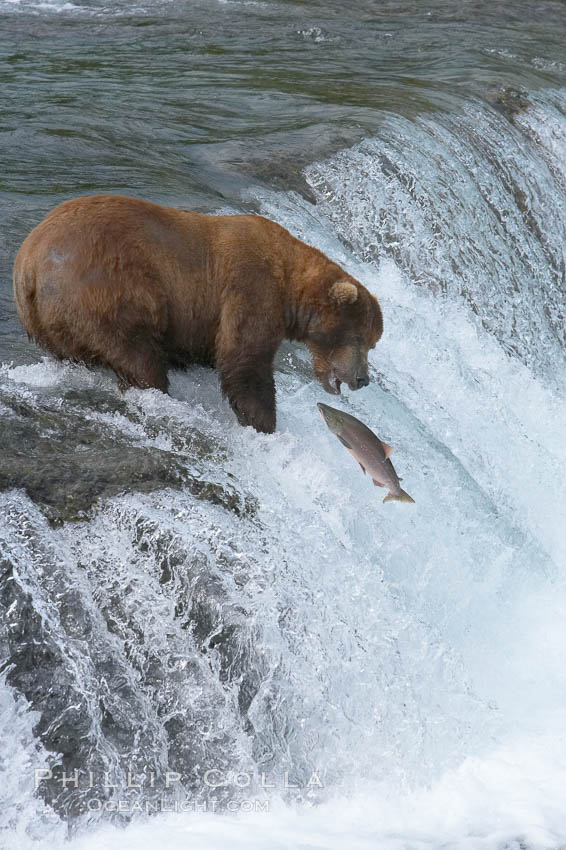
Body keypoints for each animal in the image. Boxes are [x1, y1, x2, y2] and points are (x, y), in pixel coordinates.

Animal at [13, 192, 384, 430]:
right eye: (358, 337)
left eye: (372, 342)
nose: (362, 378)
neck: (290, 283)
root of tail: (29, 261)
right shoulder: (251, 288)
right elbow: (245, 361)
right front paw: (263, 422)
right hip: (107, 290)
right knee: (137, 355)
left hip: (50, 322)